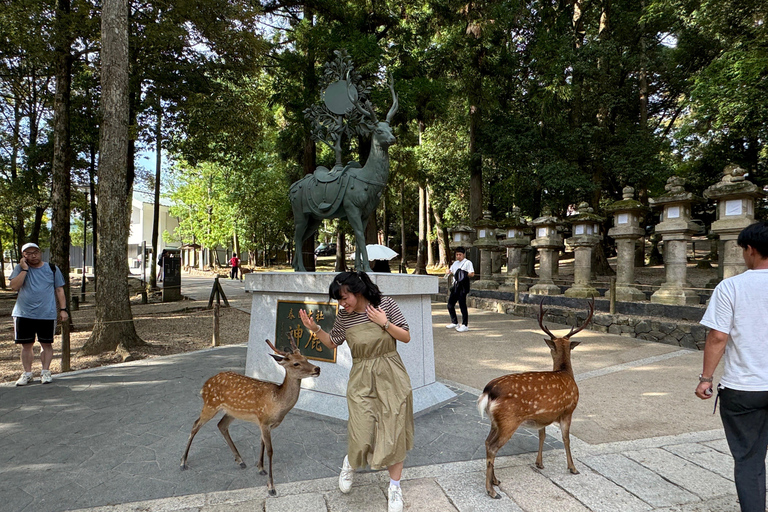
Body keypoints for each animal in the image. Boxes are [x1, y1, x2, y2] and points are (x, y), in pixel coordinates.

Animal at [182, 336, 320, 496]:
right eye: (296, 363)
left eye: (306, 358)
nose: (317, 369)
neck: (277, 403)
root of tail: (205, 385)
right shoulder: (264, 421)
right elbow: (270, 450)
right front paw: (271, 487)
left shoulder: (263, 423)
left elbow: (261, 443)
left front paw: (260, 468)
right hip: (210, 404)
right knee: (195, 424)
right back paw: (183, 462)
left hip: (231, 412)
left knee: (221, 425)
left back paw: (240, 460)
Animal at [476, 298, 596, 498]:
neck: (565, 373)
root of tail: (488, 391)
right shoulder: (568, 410)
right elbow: (566, 438)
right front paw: (573, 468)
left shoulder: (543, 417)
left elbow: (542, 435)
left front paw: (539, 463)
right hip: (508, 420)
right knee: (492, 447)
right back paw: (491, 491)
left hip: (495, 421)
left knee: (486, 443)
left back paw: (495, 481)